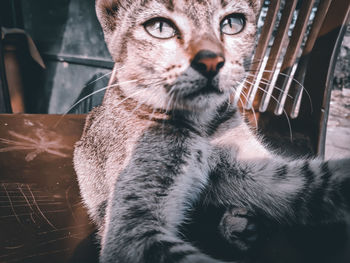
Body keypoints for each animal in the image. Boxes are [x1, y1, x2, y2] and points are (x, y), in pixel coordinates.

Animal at [74, 1, 350, 262]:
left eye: (233, 23)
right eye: (160, 27)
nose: (210, 61)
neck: (202, 125)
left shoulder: (256, 165)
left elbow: (317, 178)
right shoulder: (131, 224)